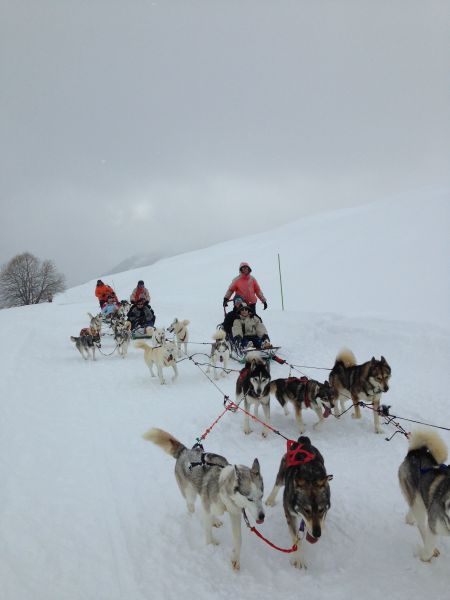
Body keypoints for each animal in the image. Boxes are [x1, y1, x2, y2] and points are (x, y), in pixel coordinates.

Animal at [143, 428, 264, 568]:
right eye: (250, 499)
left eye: (261, 496)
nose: (262, 516)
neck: (222, 488)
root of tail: (185, 451)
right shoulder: (211, 507)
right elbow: (207, 530)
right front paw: (210, 544)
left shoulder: (234, 513)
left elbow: (238, 539)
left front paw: (236, 559)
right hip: (190, 495)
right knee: (191, 507)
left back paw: (214, 520)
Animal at [266, 436, 332, 568]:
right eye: (306, 510)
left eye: (321, 509)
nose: (317, 534)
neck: (310, 476)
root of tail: (303, 441)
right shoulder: (289, 513)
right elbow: (295, 537)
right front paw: (299, 557)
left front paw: (322, 525)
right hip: (282, 473)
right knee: (277, 483)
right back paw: (270, 499)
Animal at [400, 428, 448, 560]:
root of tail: (415, 452)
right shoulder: (433, 525)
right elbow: (428, 548)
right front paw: (424, 557)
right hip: (419, 504)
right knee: (421, 525)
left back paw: (409, 519)